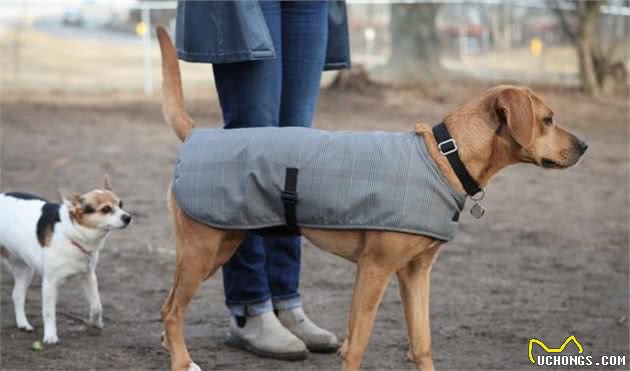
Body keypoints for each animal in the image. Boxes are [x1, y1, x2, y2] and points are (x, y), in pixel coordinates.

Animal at [0, 176, 131, 344]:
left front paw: (95, 322)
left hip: (24, 269)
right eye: (106, 209)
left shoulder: (88, 276)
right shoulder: (49, 283)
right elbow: (49, 312)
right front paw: (50, 336)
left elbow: (97, 306)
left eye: (121, 204)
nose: (128, 217)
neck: (72, 234)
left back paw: (23, 324)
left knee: (17, 295)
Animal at [156, 26, 592, 371]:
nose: (585, 146)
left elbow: (422, 343)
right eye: (548, 120)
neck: (444, 156)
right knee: (173, 311)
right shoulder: (375, 269)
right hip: (202, 250)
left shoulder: (416, 273)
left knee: (167, 309)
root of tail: (196, 134)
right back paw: (182, 361)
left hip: (218, 245)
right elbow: (358, 345)